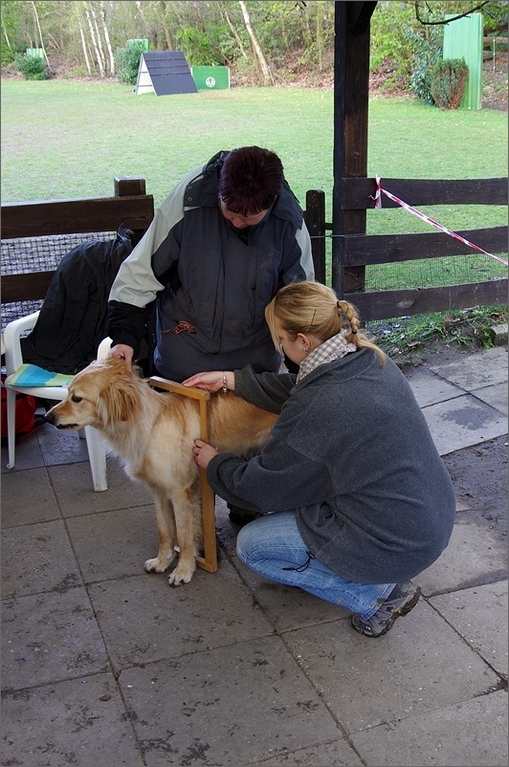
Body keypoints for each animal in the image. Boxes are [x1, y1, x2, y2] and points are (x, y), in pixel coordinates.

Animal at [46, 356, 278, 584]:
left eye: (77, 398)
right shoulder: (158, 491)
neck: (151, 425)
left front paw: (184, 570)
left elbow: (184, 536)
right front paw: (162, 561)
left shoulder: (180, 492)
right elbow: (165, 531)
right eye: (68, 392)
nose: (47, 418)